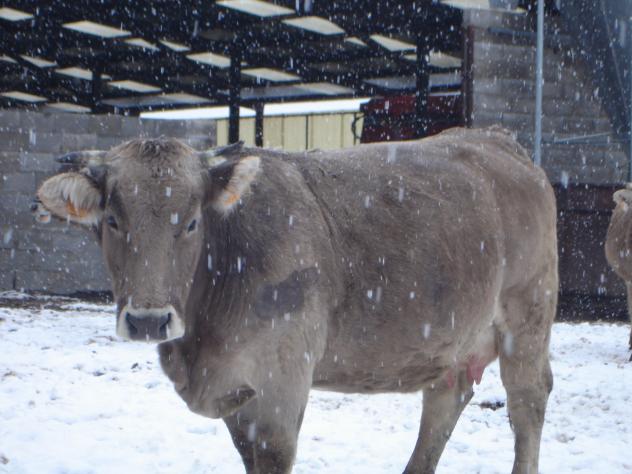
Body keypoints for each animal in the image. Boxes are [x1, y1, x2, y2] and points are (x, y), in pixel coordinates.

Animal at [33, 127, 558, 474]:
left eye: (192, 221)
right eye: (113, 221)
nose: (148, 320)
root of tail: (492, 138)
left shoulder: (280, 388)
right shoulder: (238, 391)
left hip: (528, 315)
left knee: (527, 401)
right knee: (446, 397)